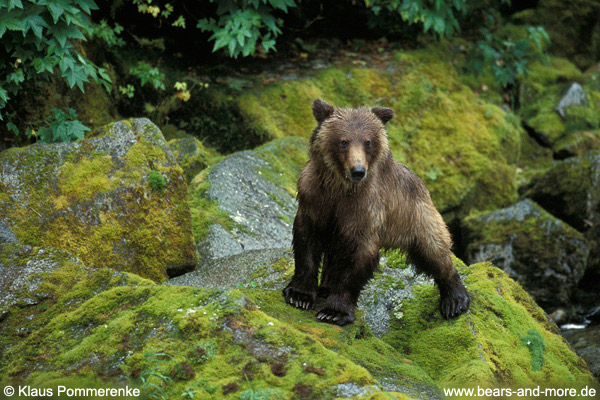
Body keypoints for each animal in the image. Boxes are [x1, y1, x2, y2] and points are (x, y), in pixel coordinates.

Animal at [284, 99, 472, 324]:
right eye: (343, 141)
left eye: (367, 142)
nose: (358, 170)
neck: (340, 188)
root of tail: (421, 184)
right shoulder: (314, 200)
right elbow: (306, 244)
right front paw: (299, 295)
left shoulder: (365, 211)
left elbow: (357, 259)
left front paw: (334, 311)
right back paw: (325, 287)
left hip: (416, 216)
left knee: (434, 250)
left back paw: (455, 299)